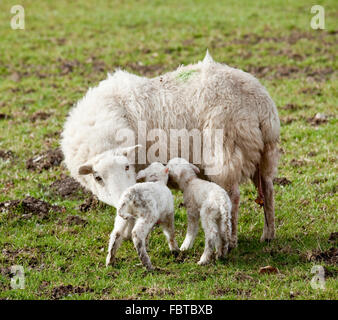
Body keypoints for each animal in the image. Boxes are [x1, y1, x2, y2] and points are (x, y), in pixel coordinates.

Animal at [60, 51, 280, 249]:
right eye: (97, 177)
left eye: (127, 167)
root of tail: (259, 103)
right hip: (264, 154)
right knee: (268, 189)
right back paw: (268, 235)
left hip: (225, 151)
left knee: (233, 196)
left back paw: (232, 239)